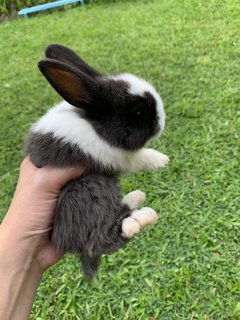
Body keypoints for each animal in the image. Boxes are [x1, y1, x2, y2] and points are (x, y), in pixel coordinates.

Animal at [24, 43, 169, 278]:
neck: (93, 123)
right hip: (89, 188)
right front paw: (161, 160)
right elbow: (139, 157)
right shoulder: (112, 156)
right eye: (139, 112)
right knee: (97, 242)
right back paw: (139, 219)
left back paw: (135, 198)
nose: (162, 121)